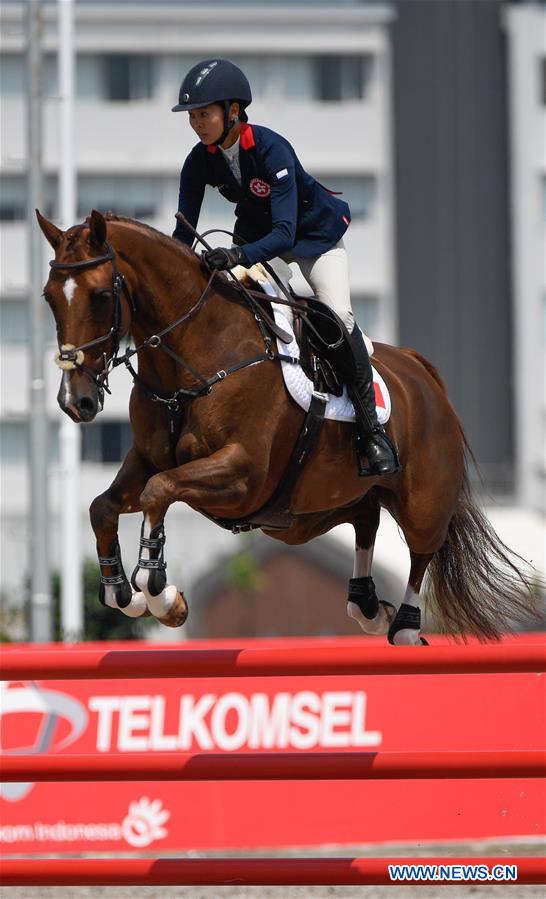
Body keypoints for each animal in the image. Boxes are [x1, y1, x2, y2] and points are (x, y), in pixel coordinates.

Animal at [37, 207, 536, 644]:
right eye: (47, 297)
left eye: (101, 296)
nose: (75, 401)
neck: (193, 358)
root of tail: (421, 372)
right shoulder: (146, 460)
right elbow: (104, 506)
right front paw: (124, 593)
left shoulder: (242, 474)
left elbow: (158, 492)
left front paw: (160, 595)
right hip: (304, 514)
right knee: (365, 517)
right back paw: (369, 608)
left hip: (421, 499)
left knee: (420, 549)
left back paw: (406, 627)